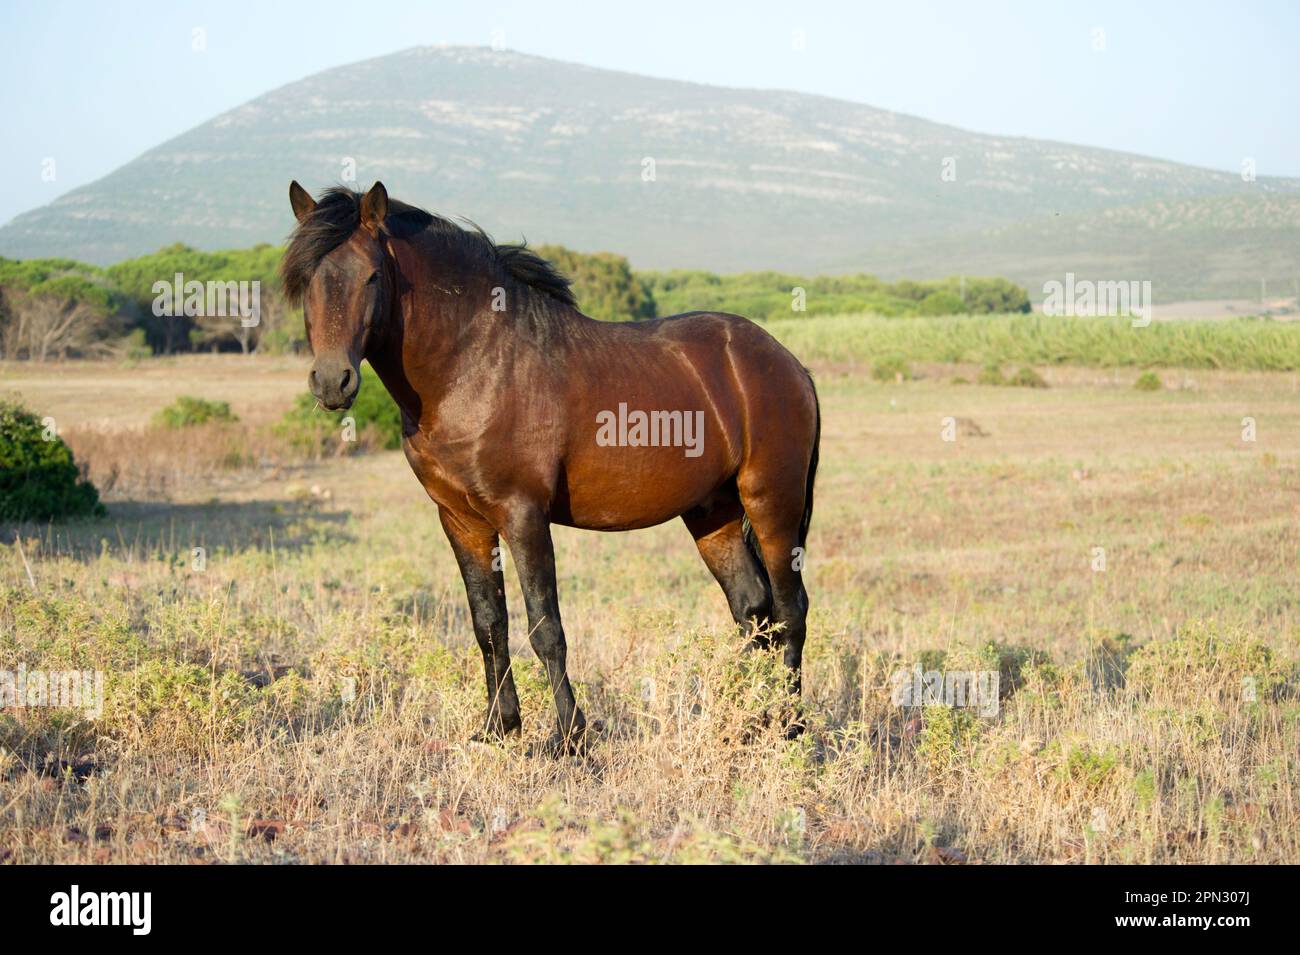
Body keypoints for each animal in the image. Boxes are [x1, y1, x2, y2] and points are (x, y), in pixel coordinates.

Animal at [282, 180, 821, 753]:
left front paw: (567, 737)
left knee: (790, 611)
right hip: (712, 513)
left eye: (372, 275)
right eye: (306, 281)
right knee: (752, 609)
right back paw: (750, 725)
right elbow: (488, 624)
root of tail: (788, 363)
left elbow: (546, 628)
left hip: (772, 503)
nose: (332, 381)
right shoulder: (461, 520)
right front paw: (497, 728)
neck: (476, 363)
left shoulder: (523, 516)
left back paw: (790, 728)